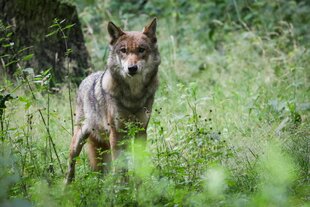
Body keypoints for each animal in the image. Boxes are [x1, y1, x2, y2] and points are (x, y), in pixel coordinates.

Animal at [66, 17, 161, 183]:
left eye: (141, 50)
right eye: (123, 50)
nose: (132, 68)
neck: (133, 96)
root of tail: (87, 77)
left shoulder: (141, 132)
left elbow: (138, 165)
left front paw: (140, 186)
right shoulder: (117, 134)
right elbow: (121, 168)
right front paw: (123, 188)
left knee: (101, 174)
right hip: (79, 141)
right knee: (71, 166)